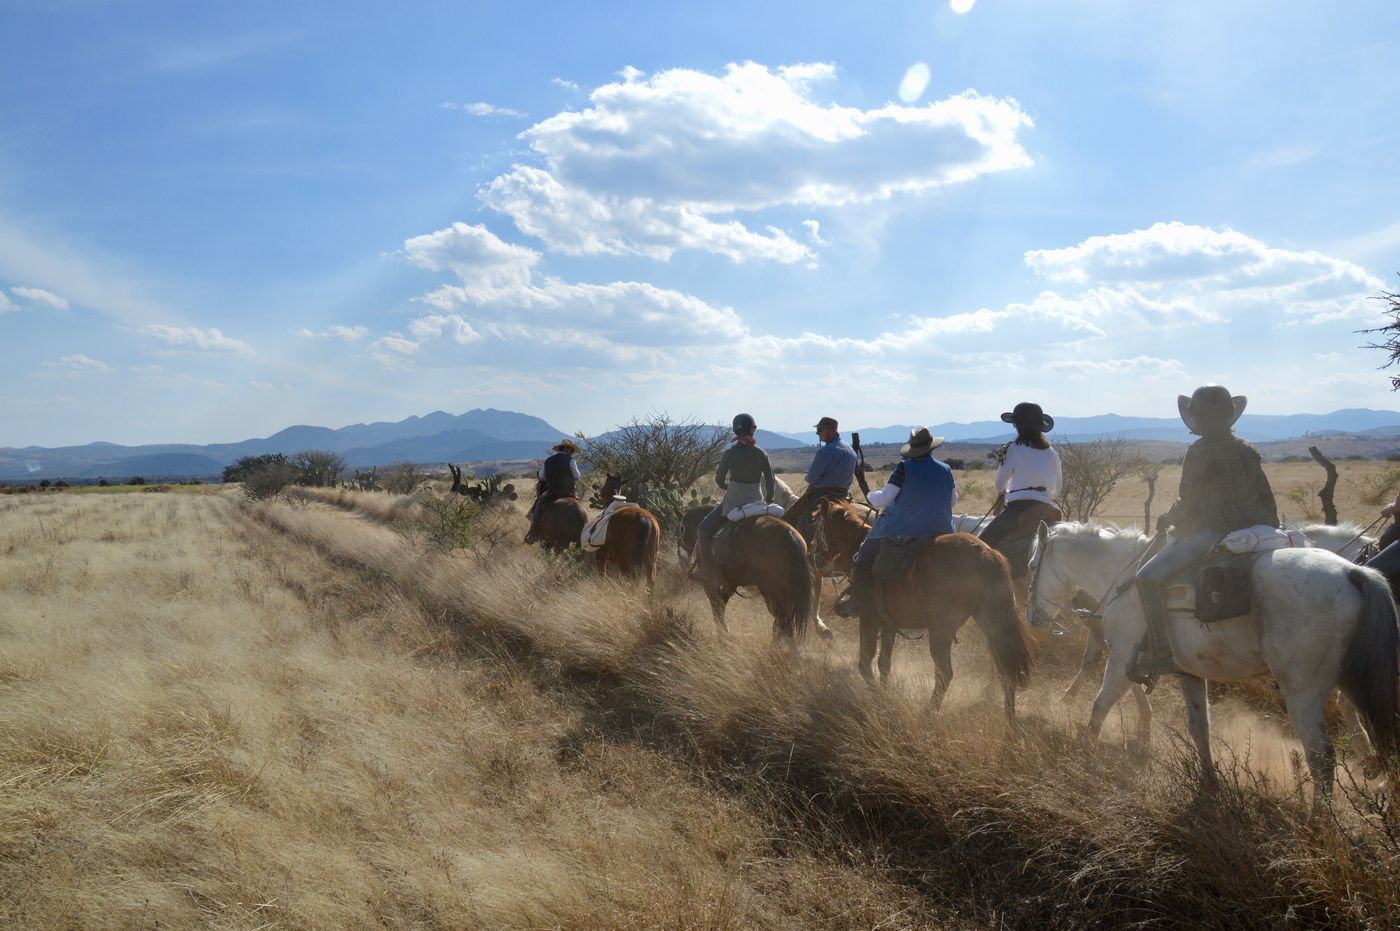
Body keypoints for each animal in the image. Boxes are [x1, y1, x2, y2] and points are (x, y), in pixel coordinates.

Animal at [812, 504, 1030, 722]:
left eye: (818, 529)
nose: (813, 559)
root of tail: (986, 554)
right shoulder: (888, 624)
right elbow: (884, 663)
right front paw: (885, 694)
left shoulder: (869, 618)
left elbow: (865, 664)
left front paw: (878, 696)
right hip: (992, 624)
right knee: (1006, 671)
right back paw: (1009, 720)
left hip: (942, 630)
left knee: (945, 673)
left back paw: (928, 712)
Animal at [1030, 523, 1400, 789]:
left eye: (1033, 564)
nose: (1032, 617)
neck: (1122, 575)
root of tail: (1353, 572)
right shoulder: (1190, 675)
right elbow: (1199, 728)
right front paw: (1209, 782)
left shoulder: (1121, 662)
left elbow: (1099, 708)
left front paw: (1086, 756)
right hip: (1352, 682)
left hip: (1303, 692)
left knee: (1321, 757)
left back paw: (1319, 823)